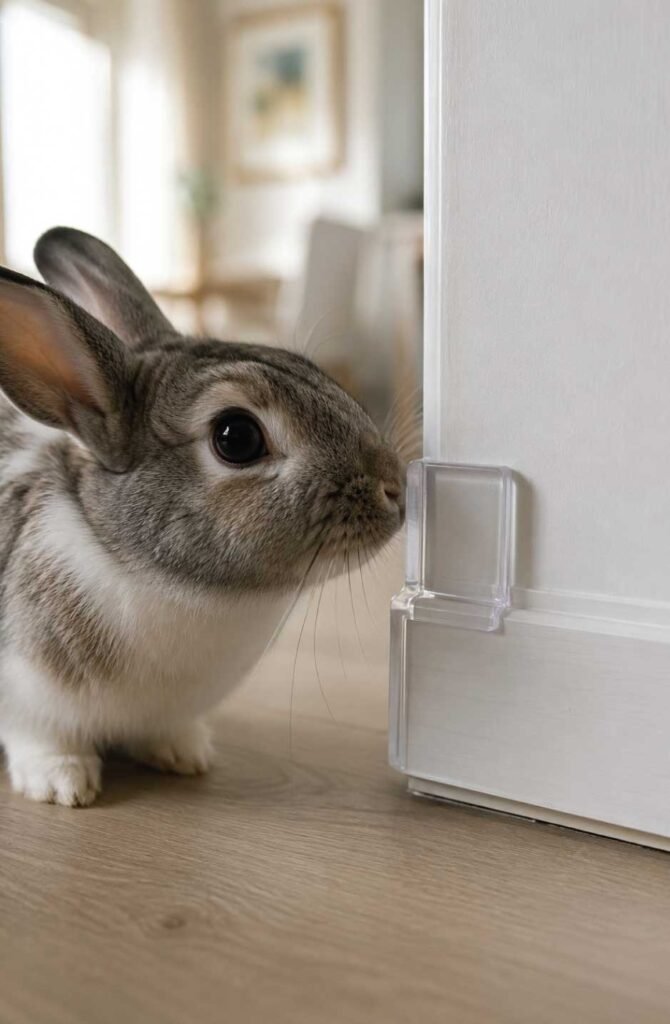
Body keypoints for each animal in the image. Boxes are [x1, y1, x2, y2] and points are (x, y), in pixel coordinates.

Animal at [0, 227, 404, 807]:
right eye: (236, 437)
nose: (395, 487)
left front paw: (185, 756)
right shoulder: (25, 699)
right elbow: (42, 740)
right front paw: (65, 787)